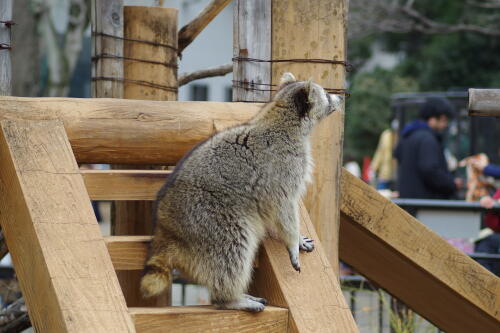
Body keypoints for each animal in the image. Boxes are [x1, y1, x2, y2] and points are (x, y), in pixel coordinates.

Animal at [143, 72, 342, 312]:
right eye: (326, 95)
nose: (339, 99)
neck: (282, 116)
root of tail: (166, 226)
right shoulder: (282, 170)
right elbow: (284, 208)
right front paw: (293, 240)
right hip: (210, 217)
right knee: (233, 250)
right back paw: (229, 298)